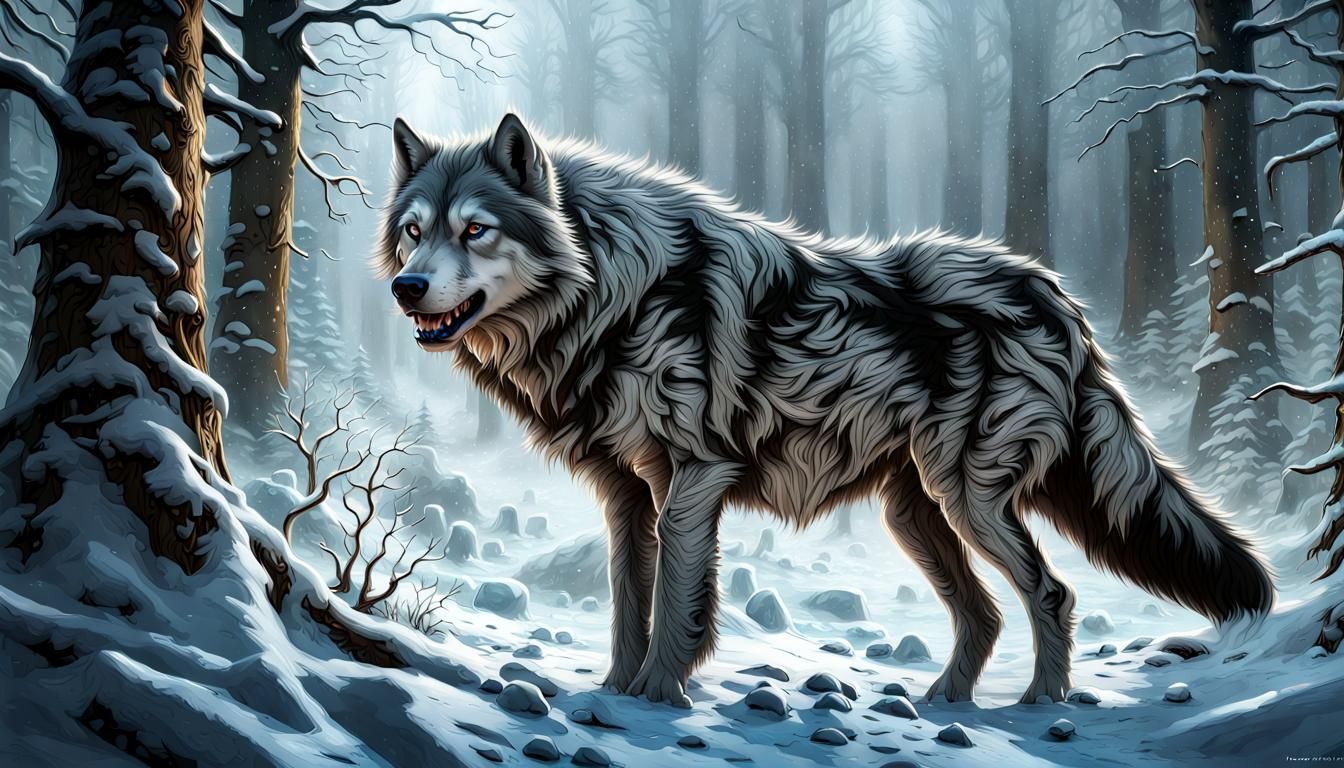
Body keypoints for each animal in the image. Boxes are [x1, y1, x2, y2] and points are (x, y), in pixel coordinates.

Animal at [375, 113, 1274, 707]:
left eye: (476, 230)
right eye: (414, 232)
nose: (406, 288)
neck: (614, 289)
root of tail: (1060, 301)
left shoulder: (693, 479)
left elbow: (675, 608)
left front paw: (657, 696)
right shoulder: (627, 495)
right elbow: (630, 602)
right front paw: (612, 692)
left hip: (973, 503)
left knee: (1051, 595)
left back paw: (1038, 707)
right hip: (917, 515)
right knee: (984, 615)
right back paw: (946, 701)